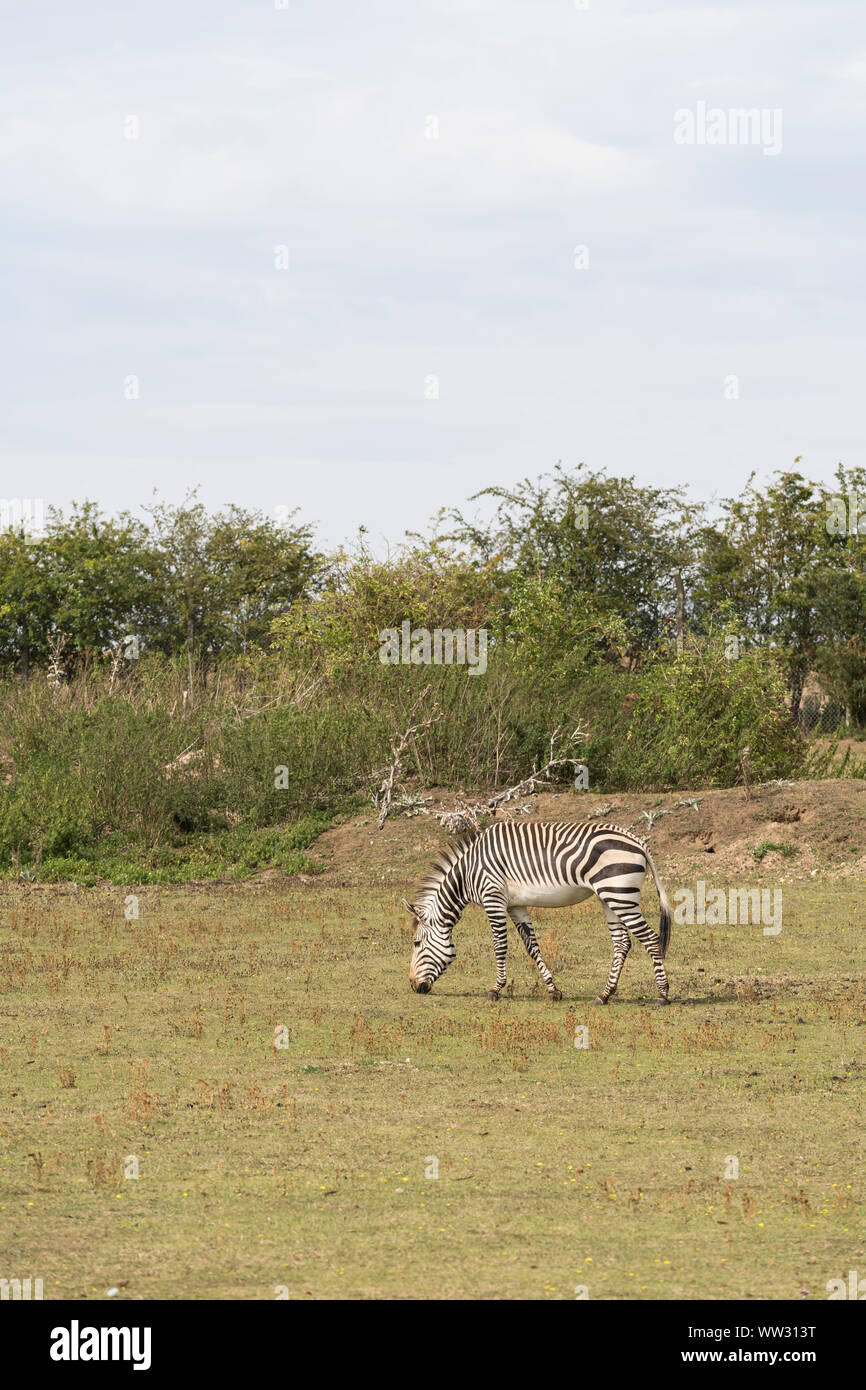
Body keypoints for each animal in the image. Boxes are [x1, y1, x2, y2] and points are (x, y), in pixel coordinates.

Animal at [403, 817, 675, 1006]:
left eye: (417, 943)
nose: (413, 986)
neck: (468, 873)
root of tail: (637, 840)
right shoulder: (516, 905)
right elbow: (532, 946)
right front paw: (553, 990)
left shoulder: (493, 899)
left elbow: (499, 946)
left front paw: (495, 989)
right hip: (610, 897)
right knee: (622, 944)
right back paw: (604, 995)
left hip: (620, 895)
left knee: (651, 939)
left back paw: (662, 994)